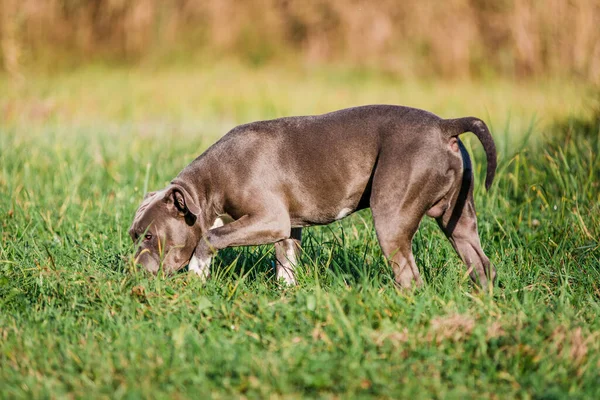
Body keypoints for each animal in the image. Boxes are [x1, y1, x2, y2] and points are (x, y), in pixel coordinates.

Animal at [127, 104, 496, 290]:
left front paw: (198, 271)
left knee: (409, 276)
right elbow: (285, 266)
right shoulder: (288, 228)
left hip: (391, 219)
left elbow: (210, 236)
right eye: (133, 235)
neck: (207, 186)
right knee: (481, 265)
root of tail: (444, 125)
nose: (131, 272)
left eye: (149, 236)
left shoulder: (270, 220)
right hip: (459, 221)